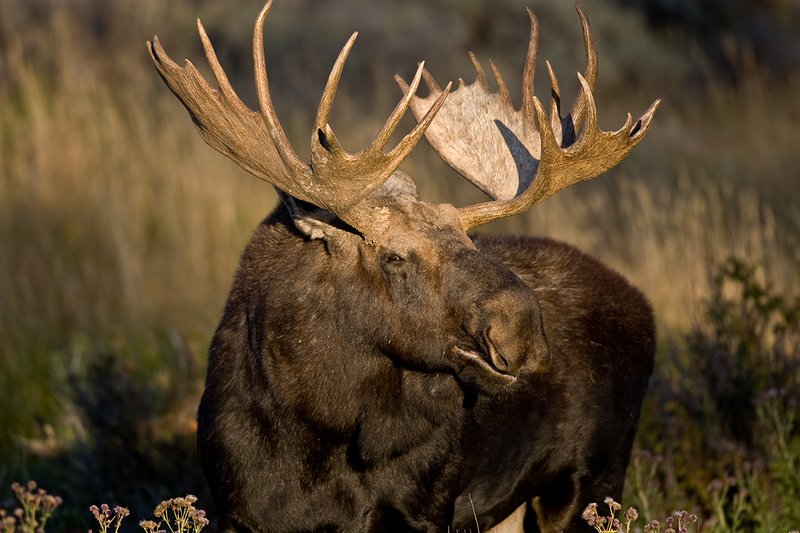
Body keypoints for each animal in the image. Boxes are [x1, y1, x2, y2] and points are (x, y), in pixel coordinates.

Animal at [147, 1, 659, 531]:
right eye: (393, 256)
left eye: (470, 240)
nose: (522, 331)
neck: (313, 430)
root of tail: (643, 307)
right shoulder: (238, 509)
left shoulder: (424, 507)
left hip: (590, 481)